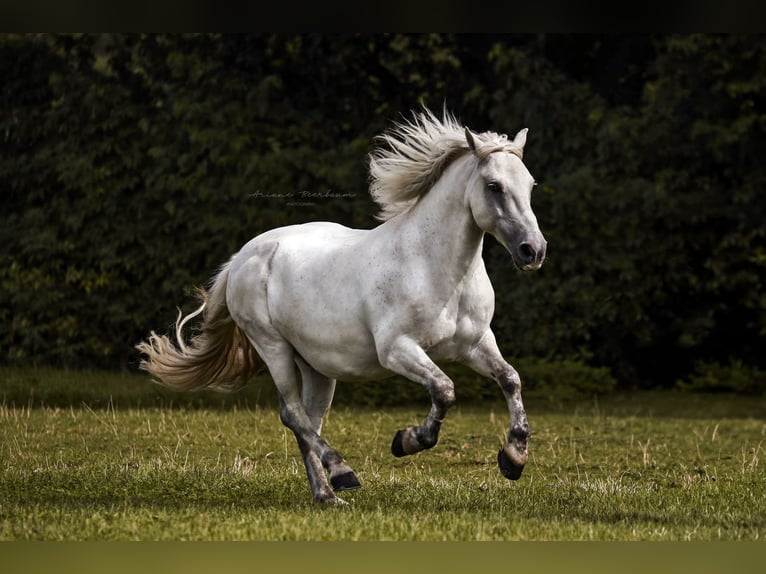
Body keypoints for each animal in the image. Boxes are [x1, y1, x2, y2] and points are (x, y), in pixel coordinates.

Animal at [136, 108, 547, 504]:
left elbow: (511, 379)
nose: (534, 250)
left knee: (308, 421)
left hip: (316, 365)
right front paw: (407, 441)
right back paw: (342, 472)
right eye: (494, 186)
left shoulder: (475, 344)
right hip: (272, 346)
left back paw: (327, 495)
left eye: (530, 185)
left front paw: (513, 459)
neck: (437, 267)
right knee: (291, 414)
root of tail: (244, 256)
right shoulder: (396, 349)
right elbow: (444, 390)